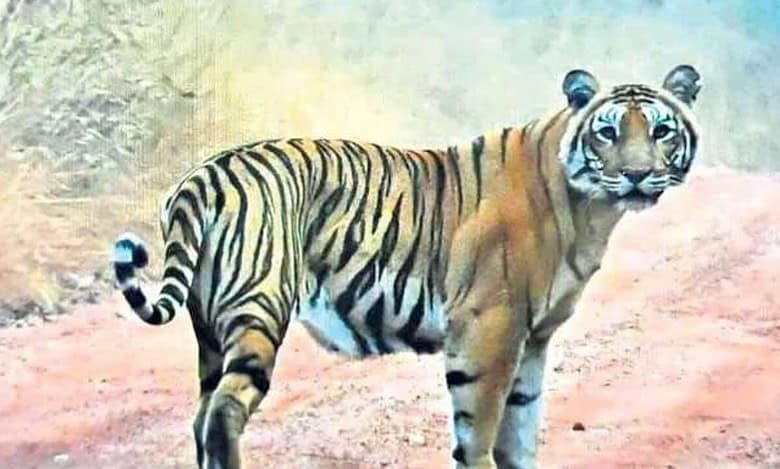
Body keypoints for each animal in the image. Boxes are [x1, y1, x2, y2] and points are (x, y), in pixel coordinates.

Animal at [113, 65, 701, 469]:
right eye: (607, 132)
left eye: (661, 131)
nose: (636, 175)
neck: (591, 208)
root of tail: (204, 174)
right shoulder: (490, 327)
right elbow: (480, 429)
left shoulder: (533, 339)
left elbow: (522, 430)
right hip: (259, 306)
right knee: (223, 413)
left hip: (210, 328)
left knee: (201, 414)